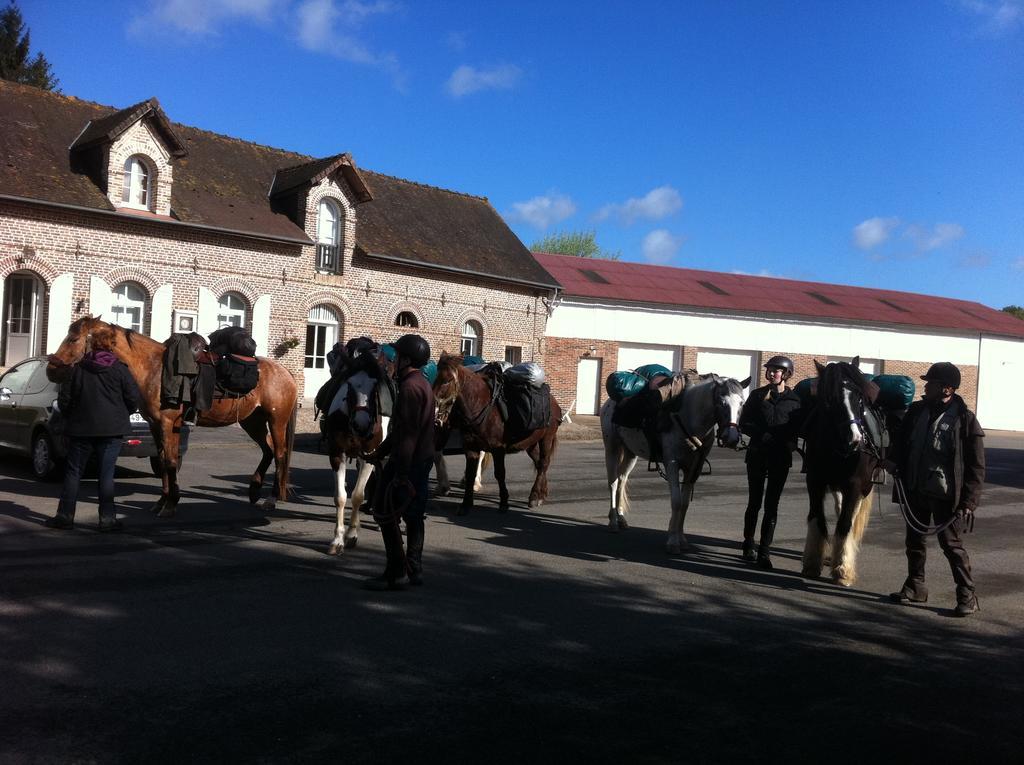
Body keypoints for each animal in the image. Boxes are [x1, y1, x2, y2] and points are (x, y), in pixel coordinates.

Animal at [48, 313, 296, 518]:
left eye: (73, 339)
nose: (51, 369)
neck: (154, 369)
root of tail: (285, 372)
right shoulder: (156, 425)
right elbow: (163, 459)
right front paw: (162, 502)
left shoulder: (168, 423)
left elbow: (169, 461)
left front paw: (170, 505)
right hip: (252, 421)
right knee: (268, 451)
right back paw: (254, 490)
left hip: (276, 420)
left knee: (280, 454)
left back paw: (271, 499)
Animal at [321, 348, 389, 557]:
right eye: (349, 385)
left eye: (375, 387)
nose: (361, 424)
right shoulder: (336, 454)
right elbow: (341, 497)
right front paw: (337, 540)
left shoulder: (370, 456)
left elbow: (358, 495)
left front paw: (351, 534)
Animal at [432, 356, 561, 518]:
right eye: (436, 377)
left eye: (447, 380)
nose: (434, 408)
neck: (479, 405)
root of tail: (553, 401)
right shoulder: (471, 448)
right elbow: (470, 474)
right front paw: (466, 504)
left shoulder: (497, 449)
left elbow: (500, 474)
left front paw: (504, 502)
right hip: (530, 443)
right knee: (539, 465)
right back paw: (541, 493)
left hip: (546, 438)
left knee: (543, 463)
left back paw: (534, 496)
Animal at [602, 374, 749, 553]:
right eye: (722, 403)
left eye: (742, 403)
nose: (731, 438)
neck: (689, 419)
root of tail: (610, 403)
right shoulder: (672, 464)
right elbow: (676, 502)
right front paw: (672, 541)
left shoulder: (693, 469)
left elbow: (684, 504)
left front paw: (682, 539)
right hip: (612, 448)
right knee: (613, 483)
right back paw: (613, 522)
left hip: (631, 453)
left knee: (622, 480)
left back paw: (621, 518)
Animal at [798, 354, 880, 585]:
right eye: (829, 399)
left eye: (859, 396)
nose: (855, 439)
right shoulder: (815, 481)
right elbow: (817, 518)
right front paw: (812, 562)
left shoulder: (855, 485)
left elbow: (845, 524)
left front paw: (842, 569)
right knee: (838, 506)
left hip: (863, 487)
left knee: (851, 516)